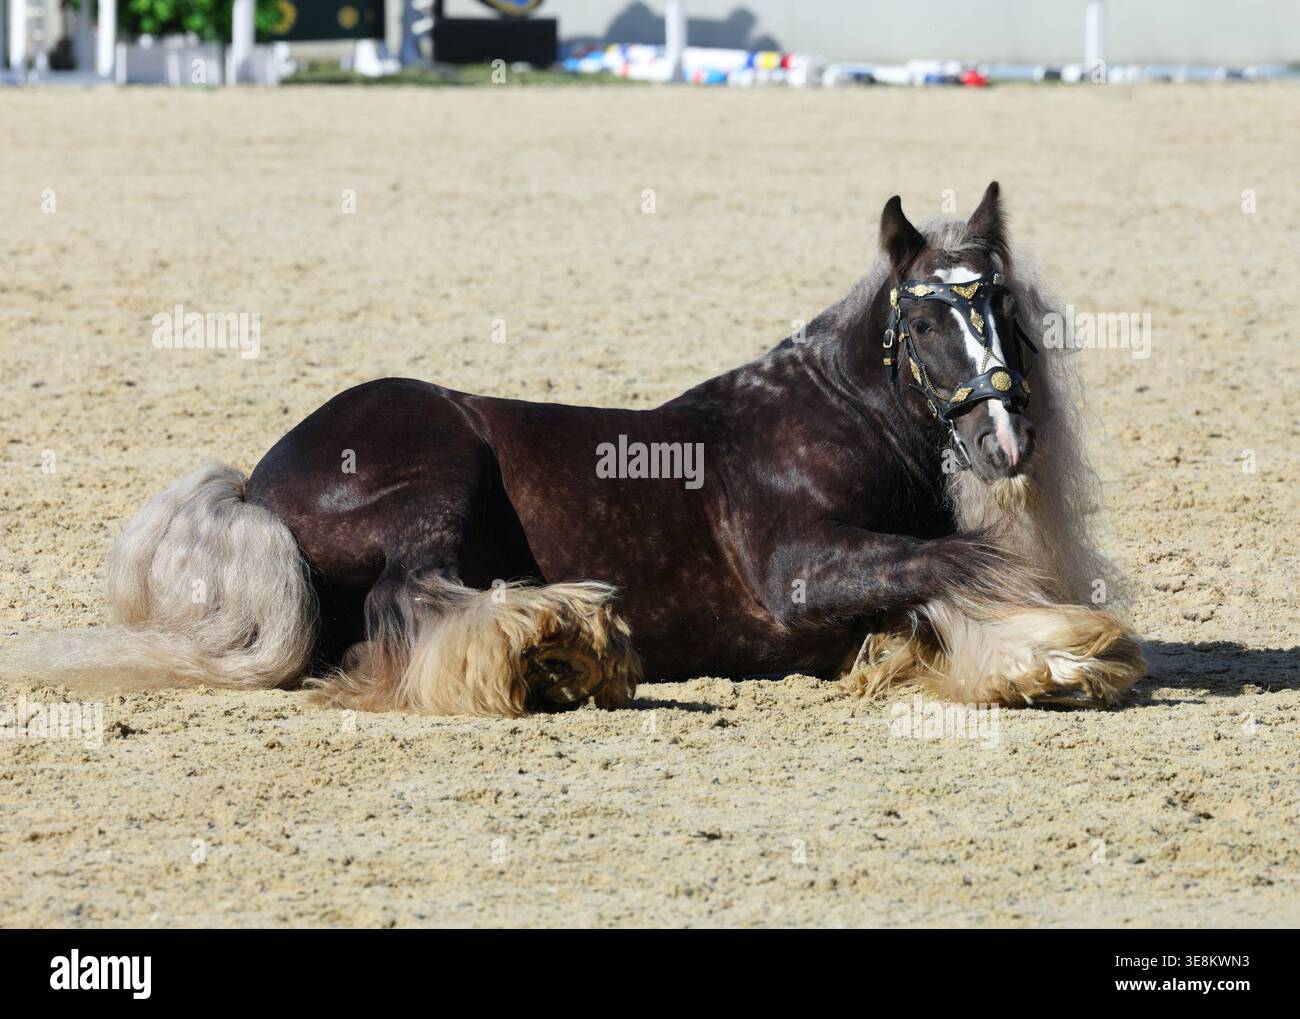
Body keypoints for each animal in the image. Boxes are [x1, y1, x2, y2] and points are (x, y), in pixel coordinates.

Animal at [10, 183, 1144, 715]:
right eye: (925, 317)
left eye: (1001, 307)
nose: (1007, 435)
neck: (825, 418)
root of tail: (258, 481)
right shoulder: (797, 571)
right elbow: (959, 561)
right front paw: (1057, 650)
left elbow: (936, 581)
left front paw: (1029, 656)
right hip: (439, 469)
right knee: (416, 596)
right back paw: (557, 640)